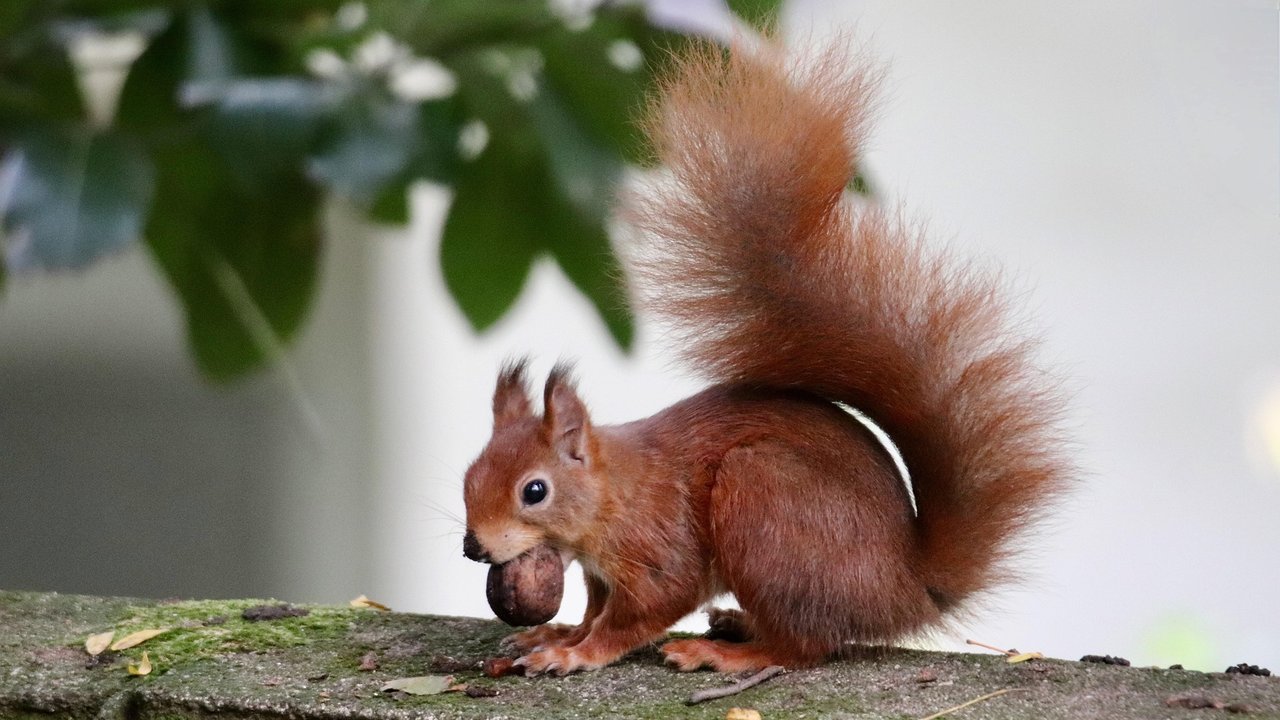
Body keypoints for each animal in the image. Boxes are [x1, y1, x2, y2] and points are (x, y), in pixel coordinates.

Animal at [461, 38, 1069, 675]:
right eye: (469, 474)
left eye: (534, 491)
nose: (473, 546)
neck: (614, 492)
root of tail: (905, 589)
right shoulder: (601, 572)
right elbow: (594, 607)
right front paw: (556, 634)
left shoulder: (659, 548)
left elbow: (640, 611)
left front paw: (577, 653)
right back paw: (734, 623)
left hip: (762, 499)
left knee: (802, 646)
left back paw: (723, 653)